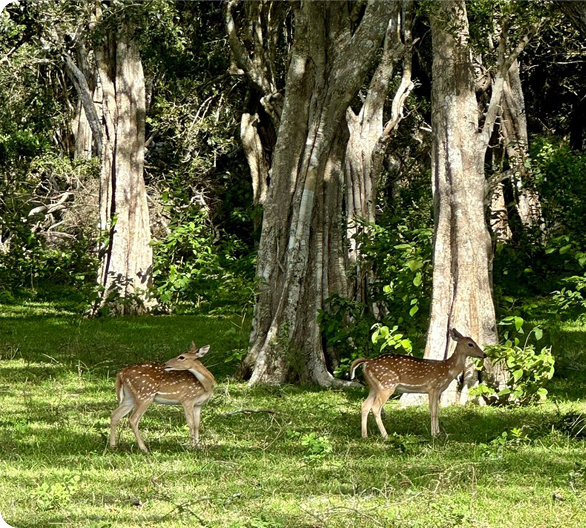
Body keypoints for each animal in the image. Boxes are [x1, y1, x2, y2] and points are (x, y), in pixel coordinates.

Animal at [350, 330, 486, 438]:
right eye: (470, 344)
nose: (484, 354)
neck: (447, 370)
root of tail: (367, 362)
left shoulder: (437, 390)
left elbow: (437, 410)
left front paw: (438, 433)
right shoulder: (433, 387)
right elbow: (433, 410)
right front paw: (434, 434)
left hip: (374, 387)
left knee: (365, 405)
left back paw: (364, 435)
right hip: (387, 385)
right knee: (375, 407)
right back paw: (385, 435)